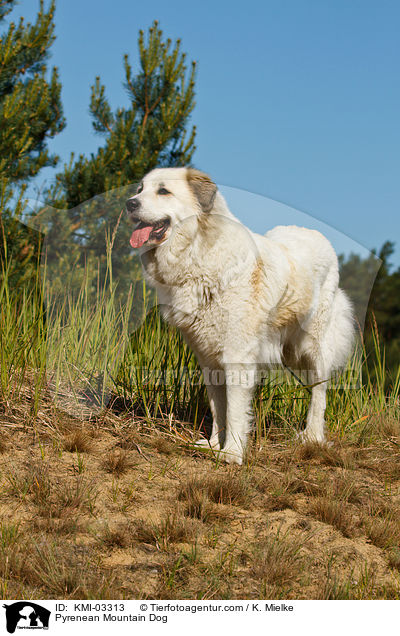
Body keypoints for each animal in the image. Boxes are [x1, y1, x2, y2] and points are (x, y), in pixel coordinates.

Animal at [126, 168, 354, 468]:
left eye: (163, 191)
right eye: (140, 189)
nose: (129, 203)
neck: (198, 252)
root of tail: (315, 233)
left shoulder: (236, 355)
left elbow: (234, 410)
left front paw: (231, 453)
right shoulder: (208, 357)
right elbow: (218, 407)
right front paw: (213, 445)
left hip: (312, 346)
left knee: (320, 390)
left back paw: (313, 436)